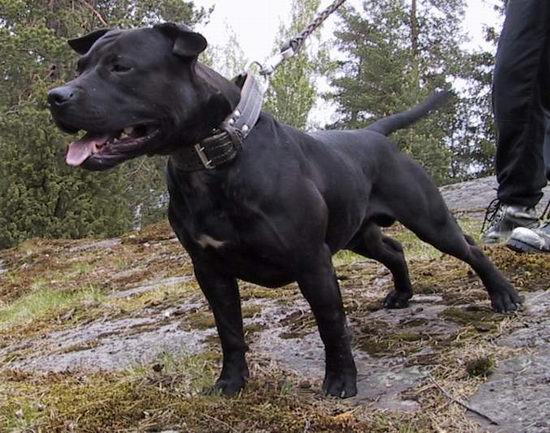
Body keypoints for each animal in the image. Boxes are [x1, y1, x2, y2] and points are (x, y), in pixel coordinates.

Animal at [48, 23, 522, 398]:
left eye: (121, 67)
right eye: (81, 66)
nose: (55, 96)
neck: (211, 158)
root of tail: (374, 132)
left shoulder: (311, 261)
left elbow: (331, 323)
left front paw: (340, 382)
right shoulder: (210, 270)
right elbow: (230, 330)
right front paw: (230, 384)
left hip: (429, 220)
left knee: (469, 248)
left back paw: (503, 296)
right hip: (360, 234)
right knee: (393, 249)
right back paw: (402, 294)